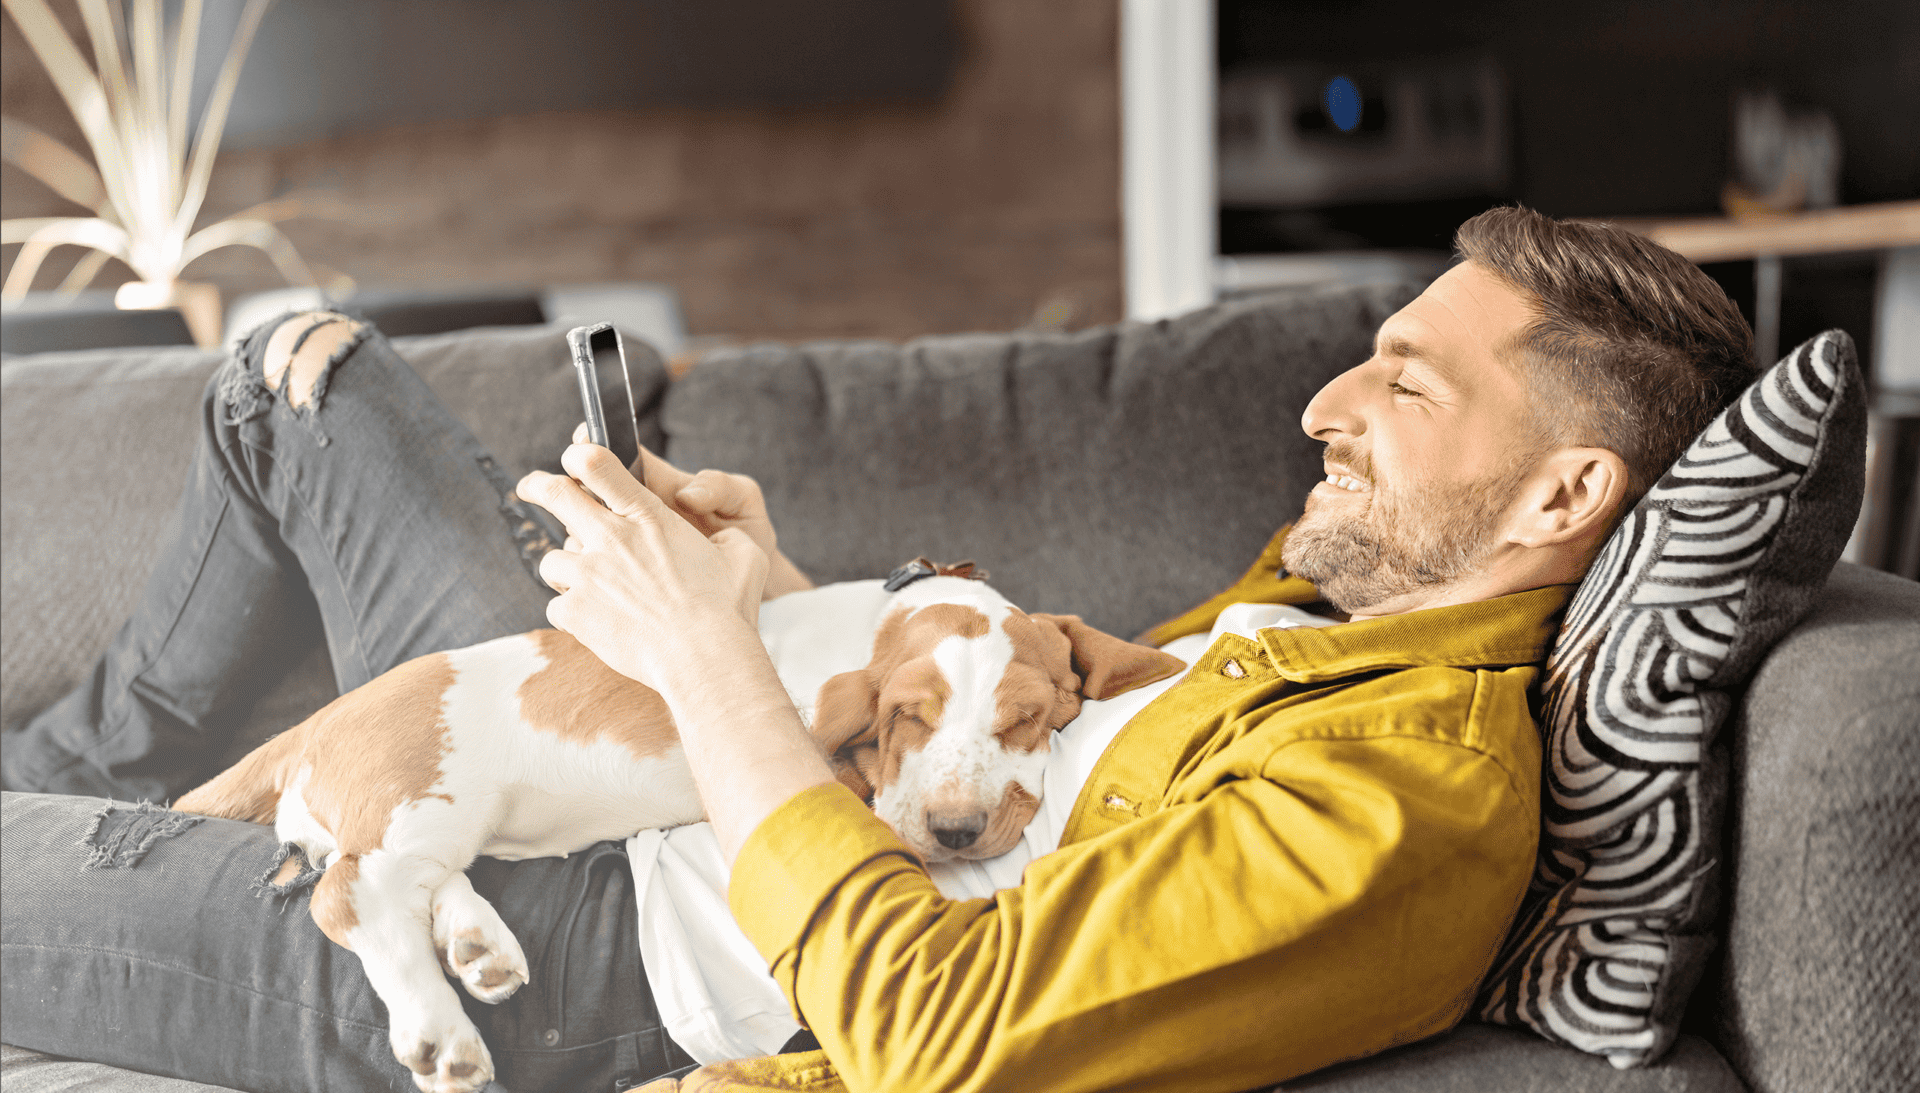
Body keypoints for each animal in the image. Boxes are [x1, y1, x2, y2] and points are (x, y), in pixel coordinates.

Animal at [176, 572, 1182, 1091]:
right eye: (910, 715)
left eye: (1025, 719)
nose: (958, 829)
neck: (873, 622)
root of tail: (312, 724)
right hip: (426, 795)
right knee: (352, 893)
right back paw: (440, 1030)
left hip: (433, 823)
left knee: (397, 883)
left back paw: (476, 946)